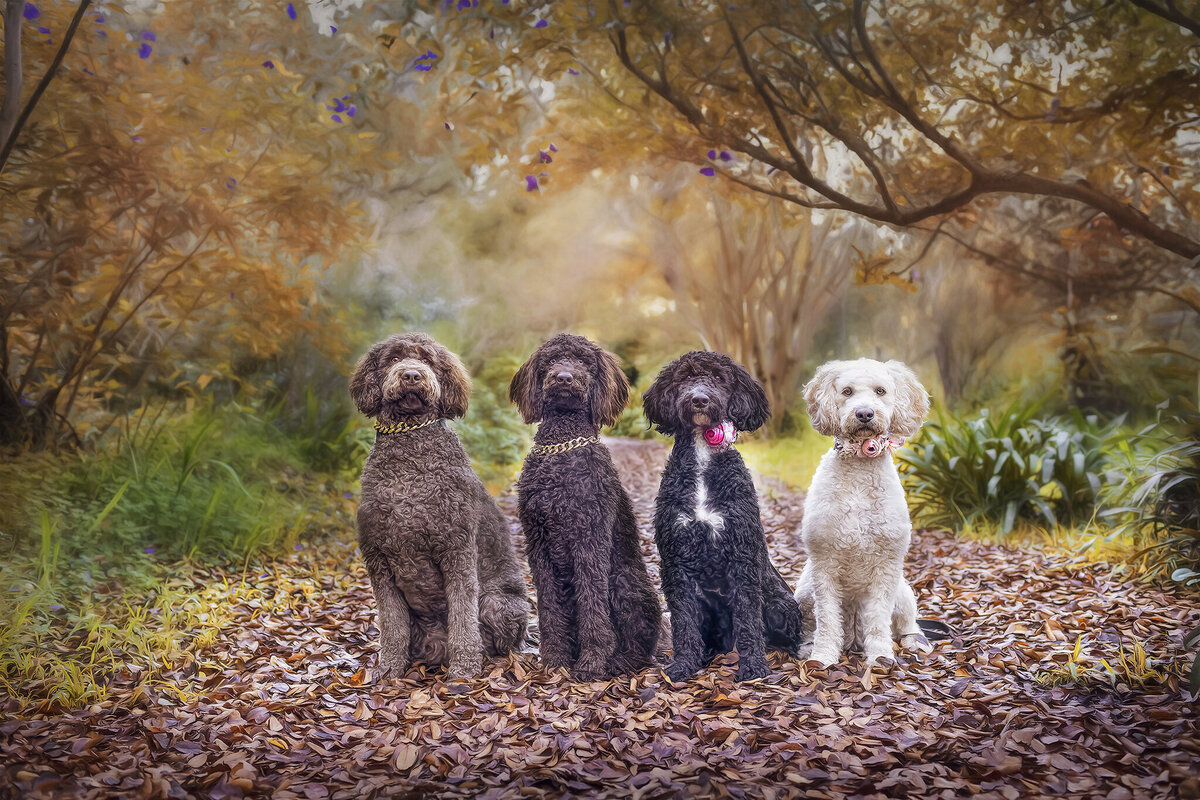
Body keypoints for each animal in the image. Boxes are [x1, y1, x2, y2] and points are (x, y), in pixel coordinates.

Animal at [350, 333, 532, 681]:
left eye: (428, 360)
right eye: (394, 359)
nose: (411, 375)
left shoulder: (456, 550)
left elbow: (463, 617)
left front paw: (464, 669)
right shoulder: (378, 560)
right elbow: (392, 624)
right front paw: (389, 667)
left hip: (499, 603)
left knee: (500, 641)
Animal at [508, 335, 667, 681]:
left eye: (583, 362)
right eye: (550, 361)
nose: (563, 377)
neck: (562, 447)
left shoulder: (589, 538)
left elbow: (592, 605)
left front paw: (592, 663)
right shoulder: (538, 544)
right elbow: (549, 609)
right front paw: (554, 659)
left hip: (624, 583)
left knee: (640, 647)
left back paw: (617, 662)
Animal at [643, 352, 801, 681]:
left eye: (718, 378)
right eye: (686, 377)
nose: (699, 399)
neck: (703, 459)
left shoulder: (742, 557)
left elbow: (749, 619)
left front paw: (753, 666)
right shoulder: (676, 561)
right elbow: (684, 623)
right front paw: (683, 664)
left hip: (780, 603)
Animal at [796, 359, 936, 666]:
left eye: (880, 391)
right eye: (847, 391)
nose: (864, 413)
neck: (860, 462)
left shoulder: (887, 566)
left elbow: (879, 620)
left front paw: (880, 656)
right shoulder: (824, 566)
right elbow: (827, 619)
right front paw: (823, 656)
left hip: (903, 592)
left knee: (908, 624)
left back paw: (914, 642)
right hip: (803, 592)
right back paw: (808, 646)